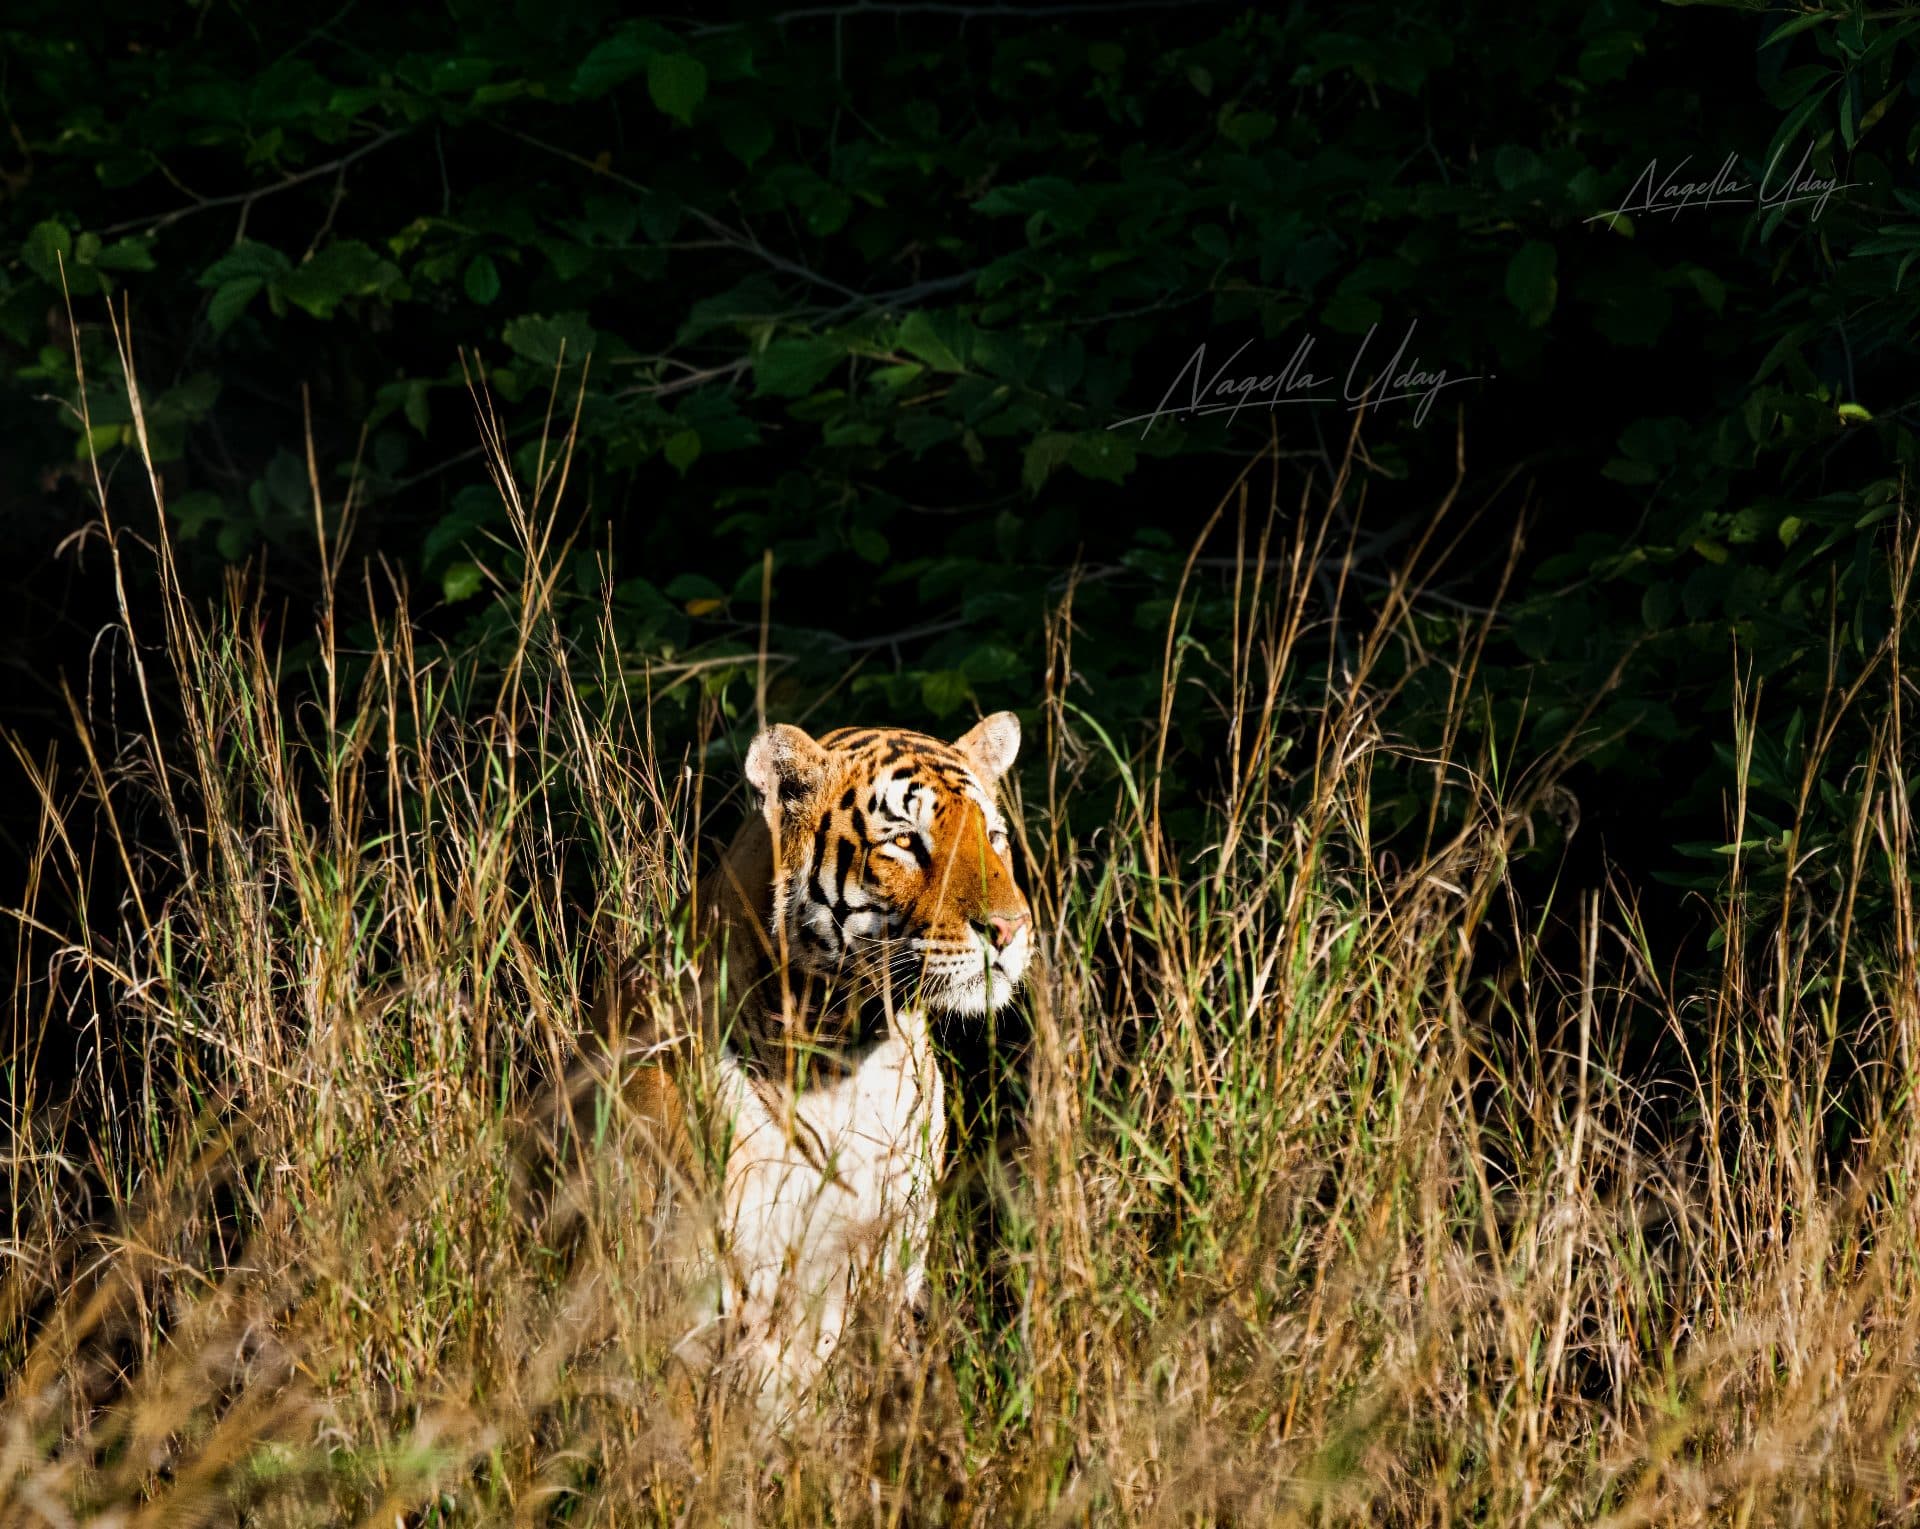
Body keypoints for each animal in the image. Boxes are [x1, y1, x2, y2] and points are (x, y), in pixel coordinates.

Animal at [534, 711, 1033, 1421]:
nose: (1012, 929)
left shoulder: (893, 1261)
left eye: (992, 836)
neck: (851, 1057)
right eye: (905, 842)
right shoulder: (687, 1291)